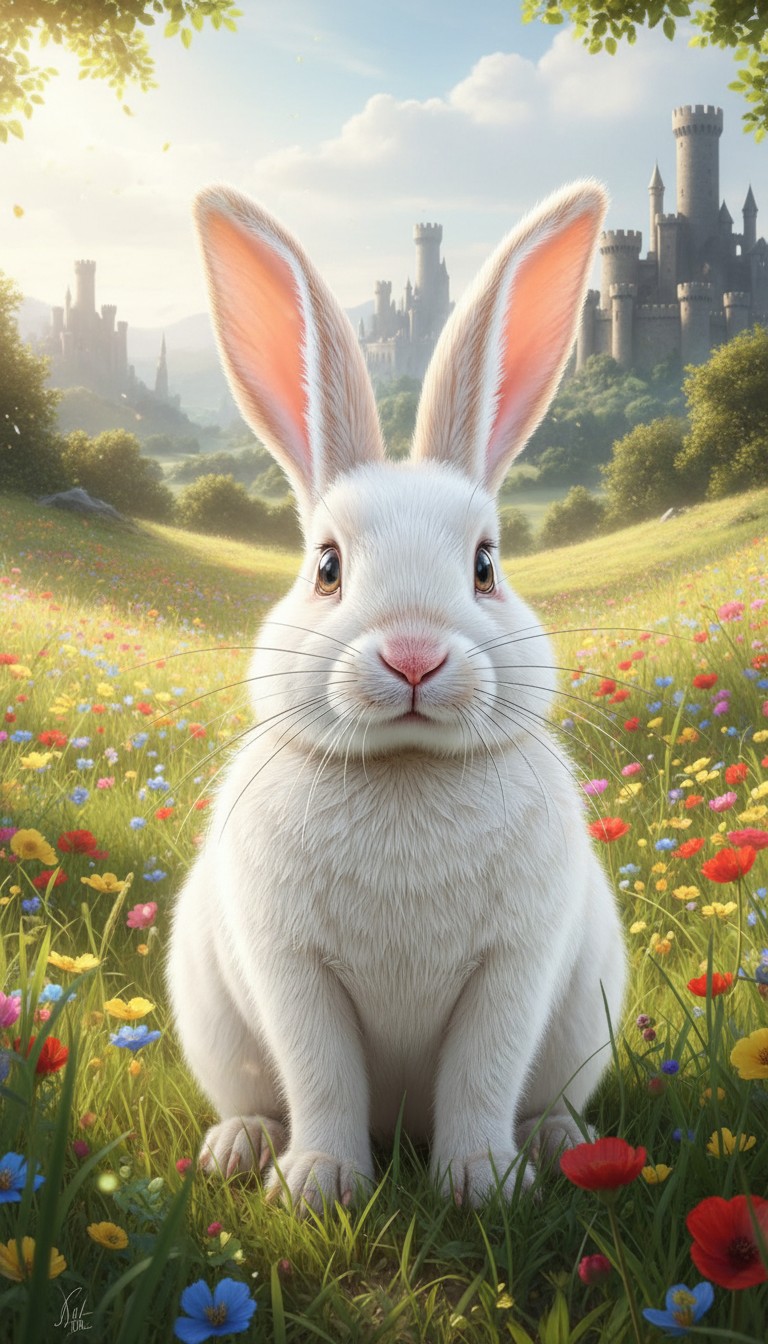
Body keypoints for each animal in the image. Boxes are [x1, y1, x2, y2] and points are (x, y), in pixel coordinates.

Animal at [165, 179, 628, 1214]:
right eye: (327, 567)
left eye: (487, 566)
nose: (414, 656)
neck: (408, 769)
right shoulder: (293, 972)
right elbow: (322, 1075)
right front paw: (318, 1187)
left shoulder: (515, 970)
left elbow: (482, 1075)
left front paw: (482, 1186)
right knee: (260, 1096)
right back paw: (240, 1147)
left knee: (542, 1097)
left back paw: (566, 1145)